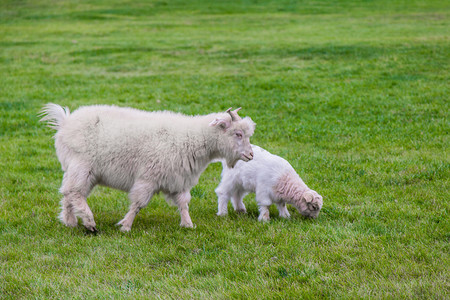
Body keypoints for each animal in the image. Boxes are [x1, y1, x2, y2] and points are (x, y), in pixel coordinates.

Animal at [40, 103, 255, 232]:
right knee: (74, 192)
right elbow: (138, 204)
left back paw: (70, 221)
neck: (192, 138)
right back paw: (89, 221)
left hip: (82, 171)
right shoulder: (148, 177)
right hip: (82, 166)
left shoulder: (178, 180)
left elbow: (183, 204)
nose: (251, 155)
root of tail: (65, 122)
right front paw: (125, 226)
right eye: (237, 134)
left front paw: (188, 224)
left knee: (68, 193)